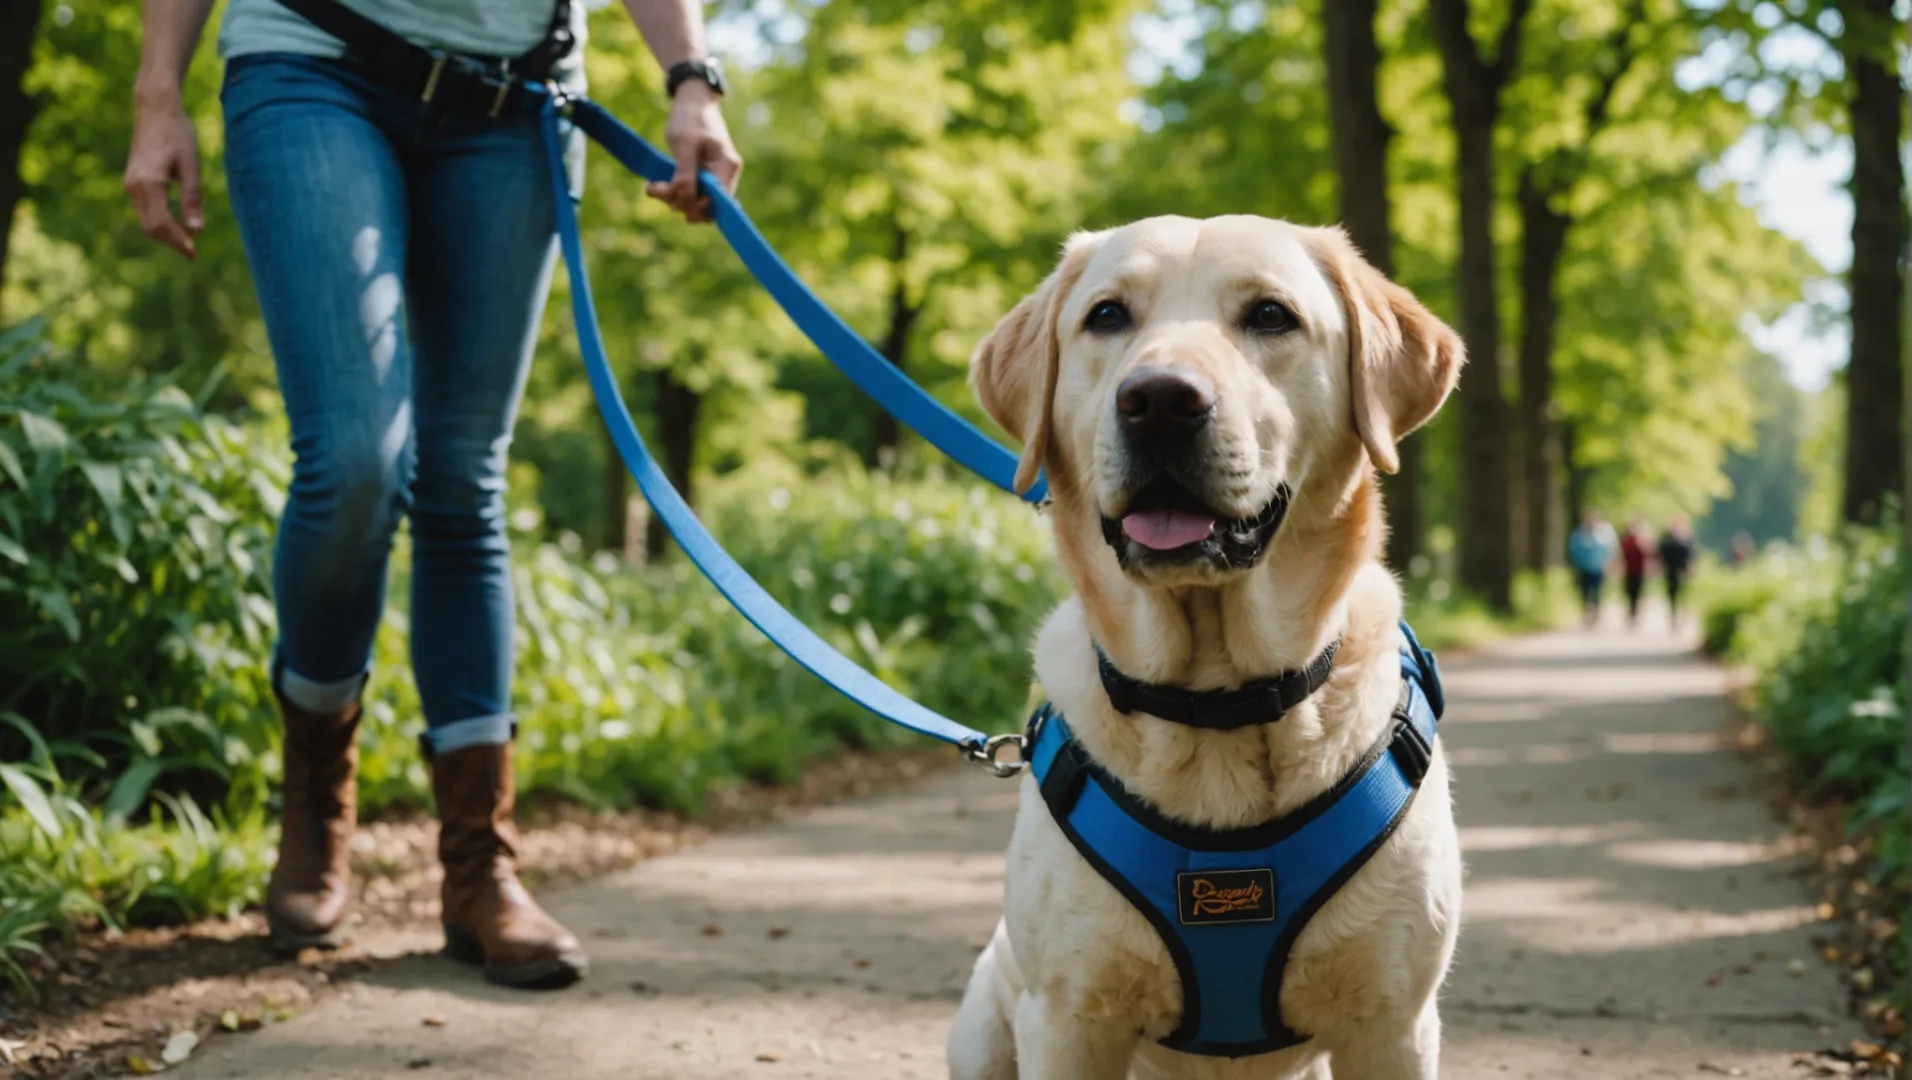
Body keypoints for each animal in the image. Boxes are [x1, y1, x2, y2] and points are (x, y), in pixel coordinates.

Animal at [952, 215, 1460, 1070]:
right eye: (1107, 316)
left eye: (1270, 315)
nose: (1159, 400)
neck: (1216, 701)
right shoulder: (1067, 1016)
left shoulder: (1393, 1022)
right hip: (986, 1021)